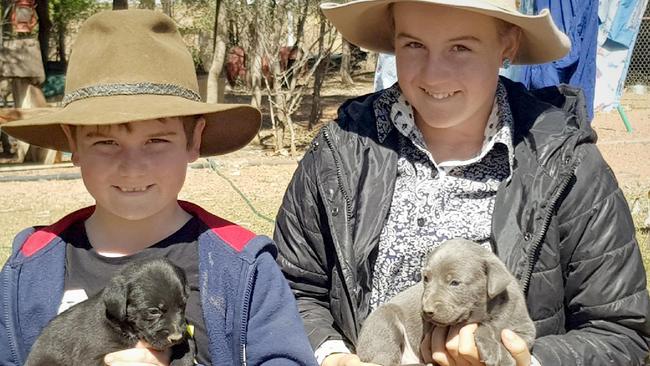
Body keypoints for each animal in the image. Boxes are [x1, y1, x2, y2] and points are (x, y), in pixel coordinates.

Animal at [24, 258, 195, 366]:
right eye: (153, 311)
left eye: (183, 305)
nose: (176, 337)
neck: (123, 328)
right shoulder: (93, 357)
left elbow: (187, 345)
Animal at [356, 239, 536, 364]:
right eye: (426, 278)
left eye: (454, 283)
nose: (426, 311)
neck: (490, 313)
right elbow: (486, 328)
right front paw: (495, 352)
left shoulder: (526, 330)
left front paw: (503, 356)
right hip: (383, 322)